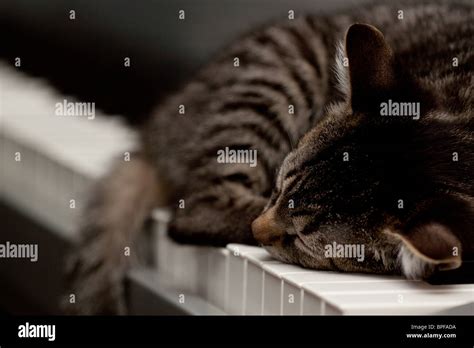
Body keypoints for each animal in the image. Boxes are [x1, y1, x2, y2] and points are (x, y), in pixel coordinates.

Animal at [65, 0, 470, 314]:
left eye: (300, 240)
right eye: (277, 188)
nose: (257, 229)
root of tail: (154, 129)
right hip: (278, 75)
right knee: (195, 212)